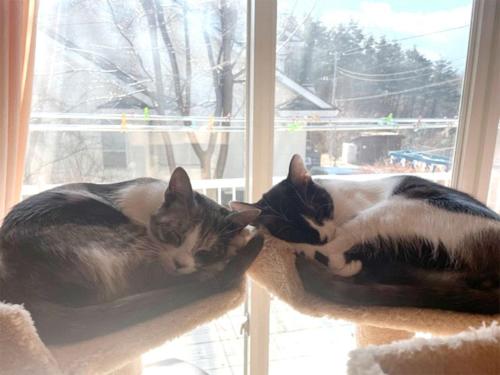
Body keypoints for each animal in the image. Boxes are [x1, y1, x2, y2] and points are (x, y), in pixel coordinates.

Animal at [231, 154, 500, 312]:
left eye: (316, 209)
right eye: (291, 228)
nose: (320, 236)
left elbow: (333, 249)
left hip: (396, 209)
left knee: (336, 254)